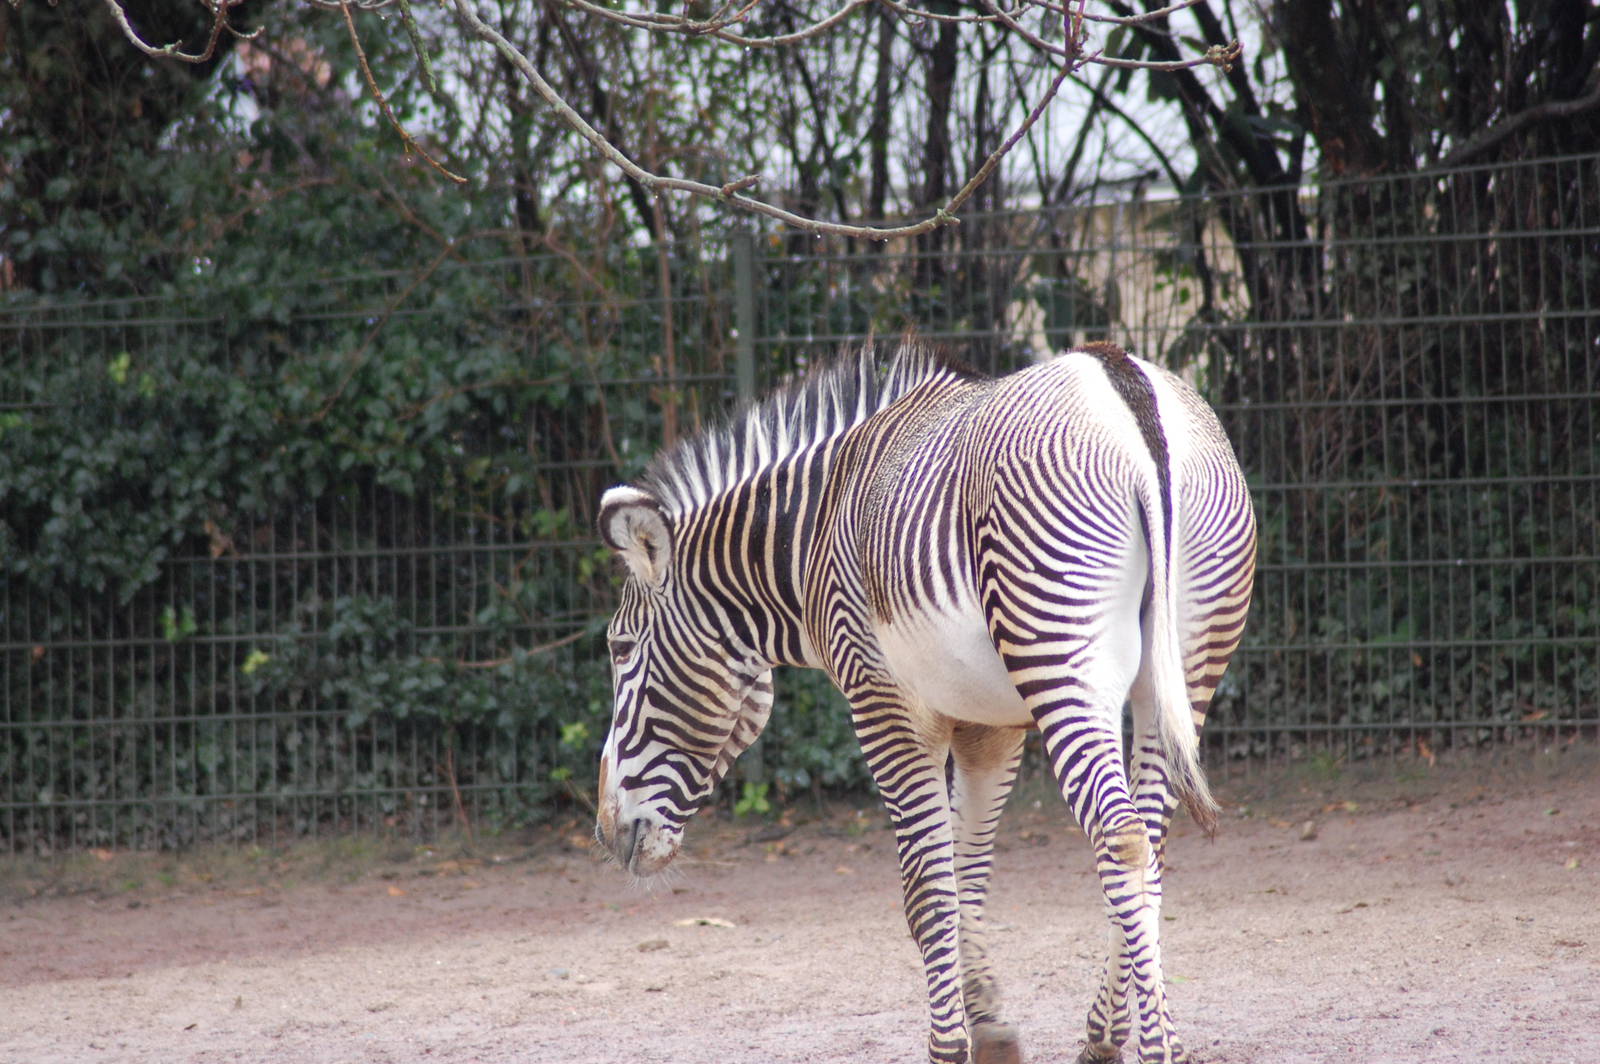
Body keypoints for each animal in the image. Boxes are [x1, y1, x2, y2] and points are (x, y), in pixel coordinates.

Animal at [594, 340, 1256, 1064]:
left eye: (620, 648)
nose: (604, 829)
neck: (813, 535)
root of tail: (1127, 387)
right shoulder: (989, 726)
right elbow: (967, 878)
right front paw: (991, 1028)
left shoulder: (884, 705)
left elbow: (926, 892)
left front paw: (949, 1045)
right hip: (1185, 669)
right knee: (1150, 844)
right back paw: (1107, 1036)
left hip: (1064, 667)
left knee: (1123, 838)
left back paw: (1155, 1043)